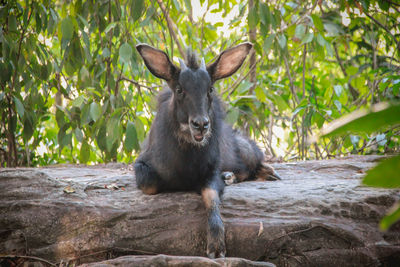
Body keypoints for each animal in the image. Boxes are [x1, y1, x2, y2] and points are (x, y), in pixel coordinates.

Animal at [134, 42, 278, 260]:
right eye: (179, 89)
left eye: (210, 89)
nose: (201, 124)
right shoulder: (140, 164)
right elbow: (151, 184)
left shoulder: (211, 171)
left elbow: (211, 198)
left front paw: (216, 246)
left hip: (246, 149)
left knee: (256, 166)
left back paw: (254, 174)